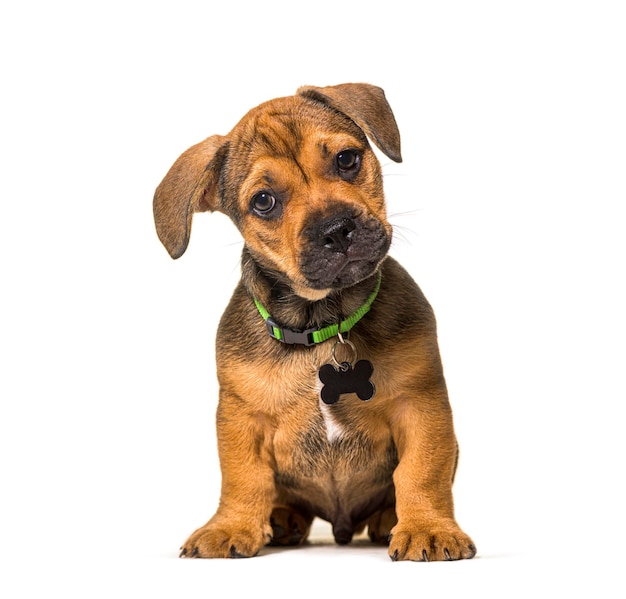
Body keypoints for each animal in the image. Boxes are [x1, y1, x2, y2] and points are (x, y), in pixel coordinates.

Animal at [154, 81, 476, 564]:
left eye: (347, 159)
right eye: (263, 202)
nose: (337, 229)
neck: (324, 321)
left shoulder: (420, 406)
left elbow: (422, 472)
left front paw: (427, 528)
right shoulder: (240, 417)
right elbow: (242, 477)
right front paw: (230, 525)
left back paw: (387, 519)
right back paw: (282, 518)